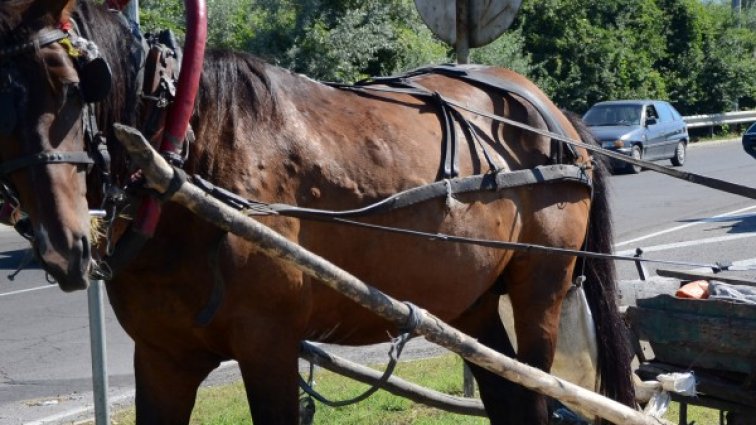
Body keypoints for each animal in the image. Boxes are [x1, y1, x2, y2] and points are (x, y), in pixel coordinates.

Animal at [0, 1, 636, 422]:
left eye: (76, 84)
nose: (62, 243)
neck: (186, 155)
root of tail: (549, 113)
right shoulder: (161, 359)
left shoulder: (268, 349)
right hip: (470, 301)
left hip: (540, 287)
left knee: (536, 390)